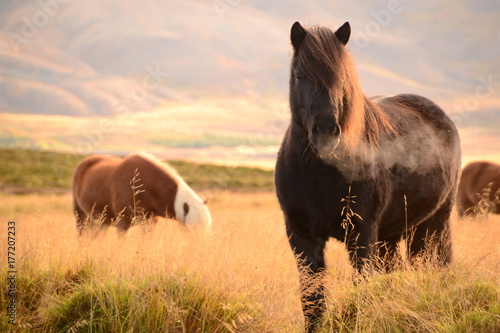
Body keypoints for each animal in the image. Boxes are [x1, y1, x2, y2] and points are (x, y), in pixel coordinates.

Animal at [274, 21, 460, 330]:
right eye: (300, 75)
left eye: (343, 77)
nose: (326, 133)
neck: (319, 175)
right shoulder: (301, 235)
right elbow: (312, 301)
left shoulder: (362, 235)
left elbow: (358, 294)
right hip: (391, 236)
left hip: (432, 226)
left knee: (435, 266)